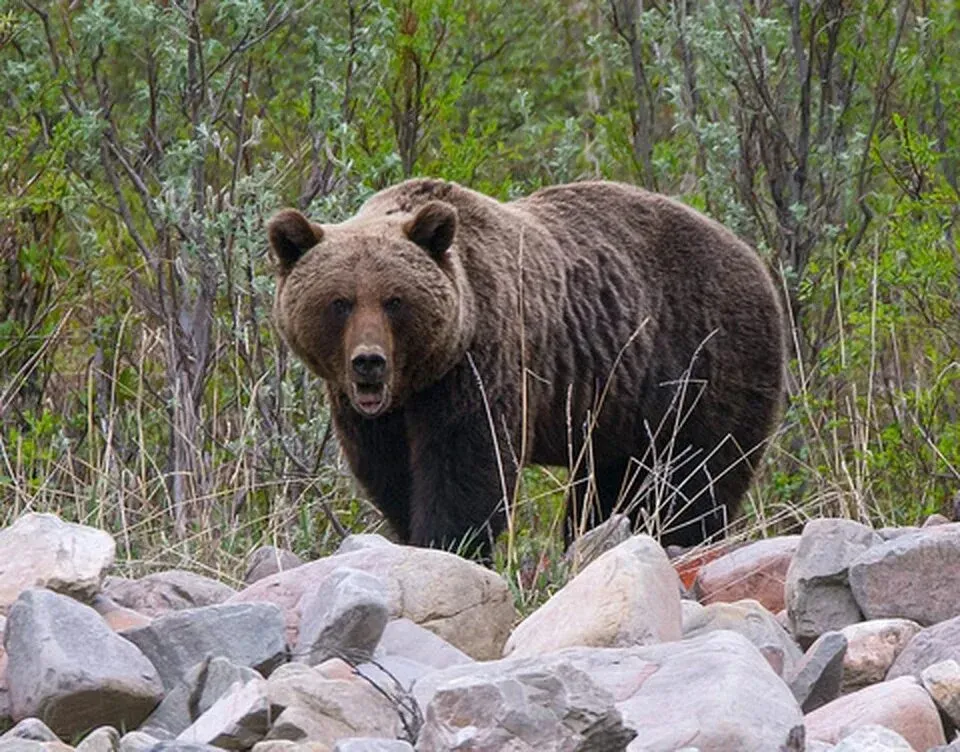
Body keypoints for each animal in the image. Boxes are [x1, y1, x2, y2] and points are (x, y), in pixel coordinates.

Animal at [268, 179, 784, 558]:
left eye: (395, 300)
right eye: (340, 302)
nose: (369, 362)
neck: (421, 378)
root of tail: (754, 256)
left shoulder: (481, 364)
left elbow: (469, 466)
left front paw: (450, 542)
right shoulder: (369, 410)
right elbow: (389, 470)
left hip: (703, 363)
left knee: (698, 472)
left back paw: (679, 537)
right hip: (622, 406)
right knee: (613, 483)